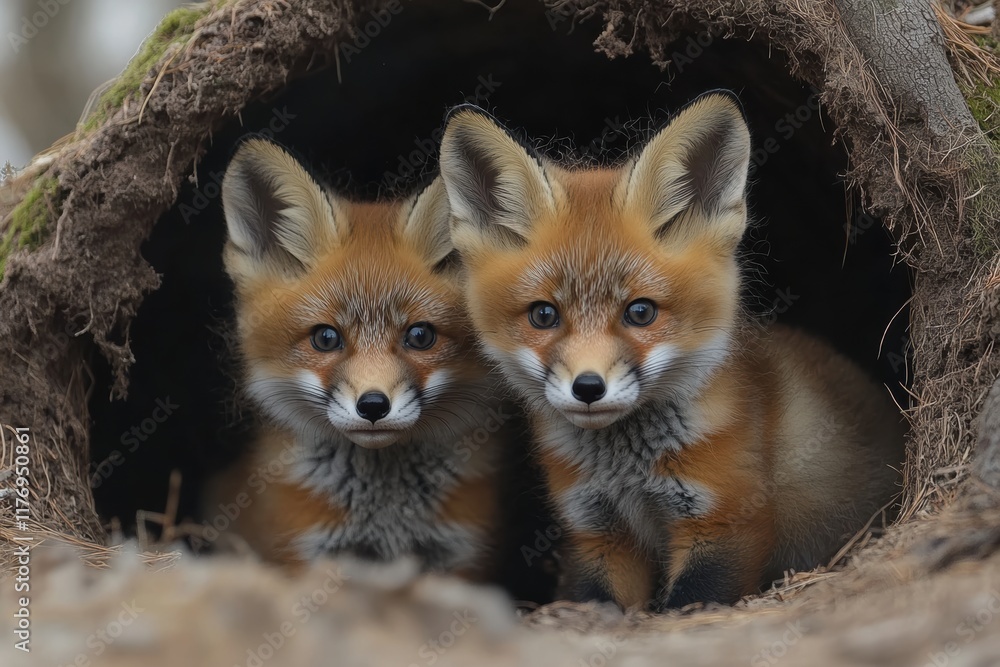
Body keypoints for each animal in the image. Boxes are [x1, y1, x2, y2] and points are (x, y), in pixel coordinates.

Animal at [207, 137, 514, 578]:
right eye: (325, 338)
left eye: (420, 336)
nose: (372, 406)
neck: (384, 515)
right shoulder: (305, 553)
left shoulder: (461, 555)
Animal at [437, 94, 905, 609]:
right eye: (543, 315)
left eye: (640, 312)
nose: (588, 388)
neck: (628, 472)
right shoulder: (598, 532)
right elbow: (598, 599)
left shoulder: (725, 521)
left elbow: (688, 602)